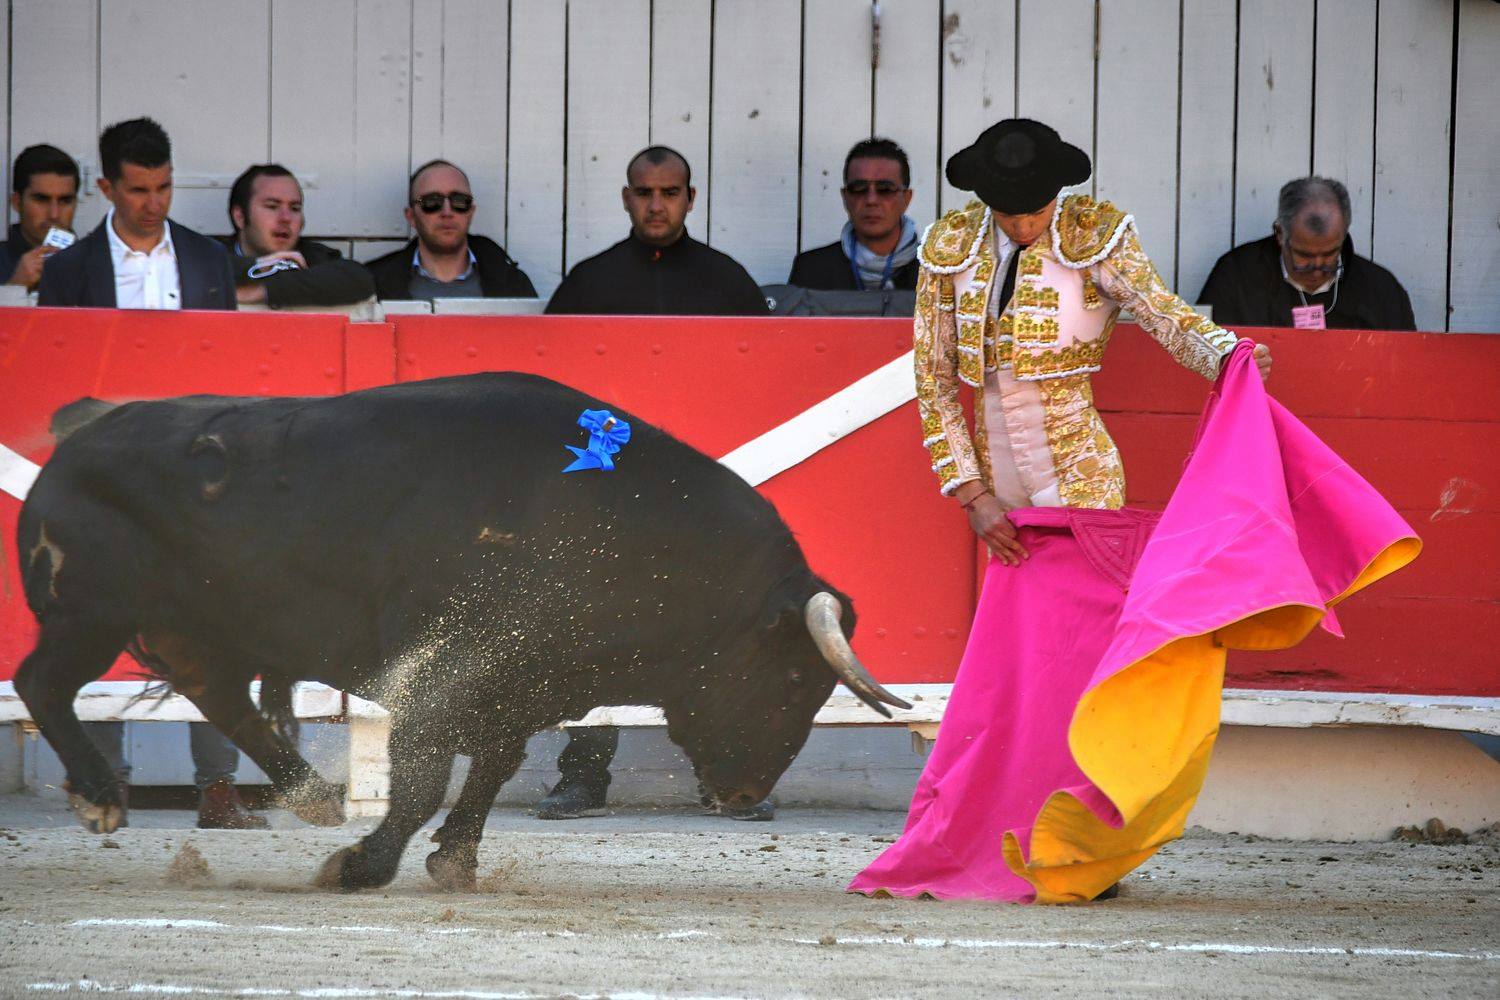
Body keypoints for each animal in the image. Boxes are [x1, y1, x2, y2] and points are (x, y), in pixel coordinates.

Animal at [17, 371, 906, 887]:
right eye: (794, 676)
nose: (747, 793)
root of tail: (84, 429)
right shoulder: (451, 669)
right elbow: (422, 777)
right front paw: (363, 866)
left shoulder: (520, 685)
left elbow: (487, 771)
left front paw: (450, 859)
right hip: (93, 611)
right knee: (42, 683)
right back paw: (102, 800)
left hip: (201, 627)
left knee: (222, 699)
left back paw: (311, 797)